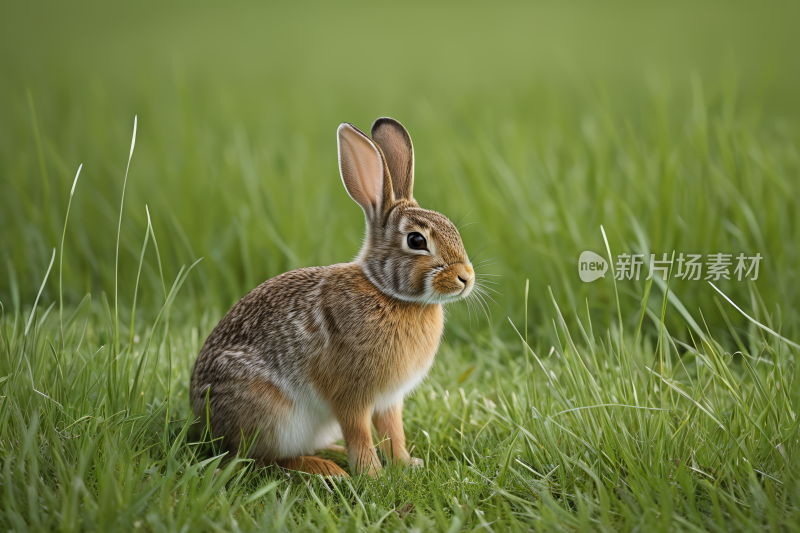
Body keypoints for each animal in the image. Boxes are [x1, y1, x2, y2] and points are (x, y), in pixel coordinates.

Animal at [188, 118, 476, 476]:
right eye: (416, 241)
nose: (466, 277)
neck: (387, 292)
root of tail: (205, 423)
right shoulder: (351, 395)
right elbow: (360, 433)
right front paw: (372, 475)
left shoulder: (389, 400)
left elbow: (393, 431)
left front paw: (407, 464)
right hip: (270, 416)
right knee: (259, 459)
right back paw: (327, 469)